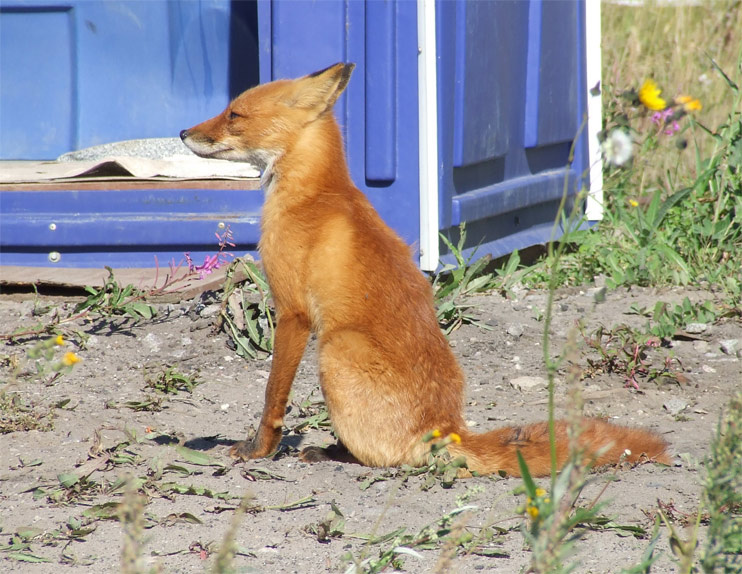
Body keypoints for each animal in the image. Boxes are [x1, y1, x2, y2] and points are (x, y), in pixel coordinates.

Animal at [180, 62, 670, 477]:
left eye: (234, 114)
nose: (184, 131)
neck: (312, 194)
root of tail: (445, 427)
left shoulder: (294, 312)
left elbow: (272, 397)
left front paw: (258, 450)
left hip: (335, 349)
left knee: (382, 458)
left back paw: (331, 453)